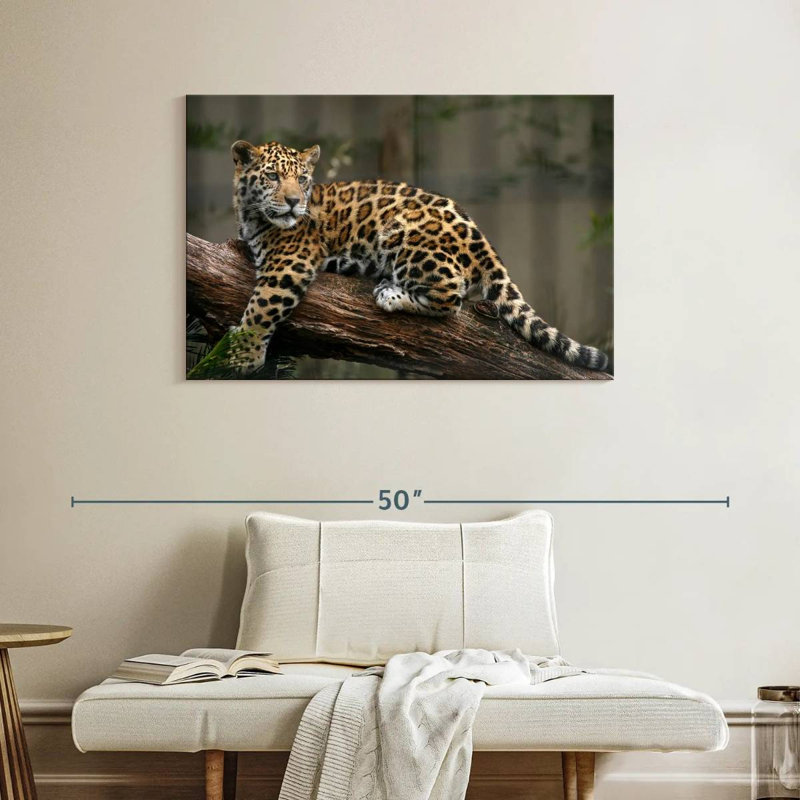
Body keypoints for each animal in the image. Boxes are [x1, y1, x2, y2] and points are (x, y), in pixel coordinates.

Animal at [226, 139, 608, 375]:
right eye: (273, 176)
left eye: (303, 179)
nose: (294, 202)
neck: (251, 215)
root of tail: (483, 240)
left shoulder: (289, 262)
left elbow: (262, 307)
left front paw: (242, 355)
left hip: (404, 236)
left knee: (452, 298)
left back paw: (391, 293)